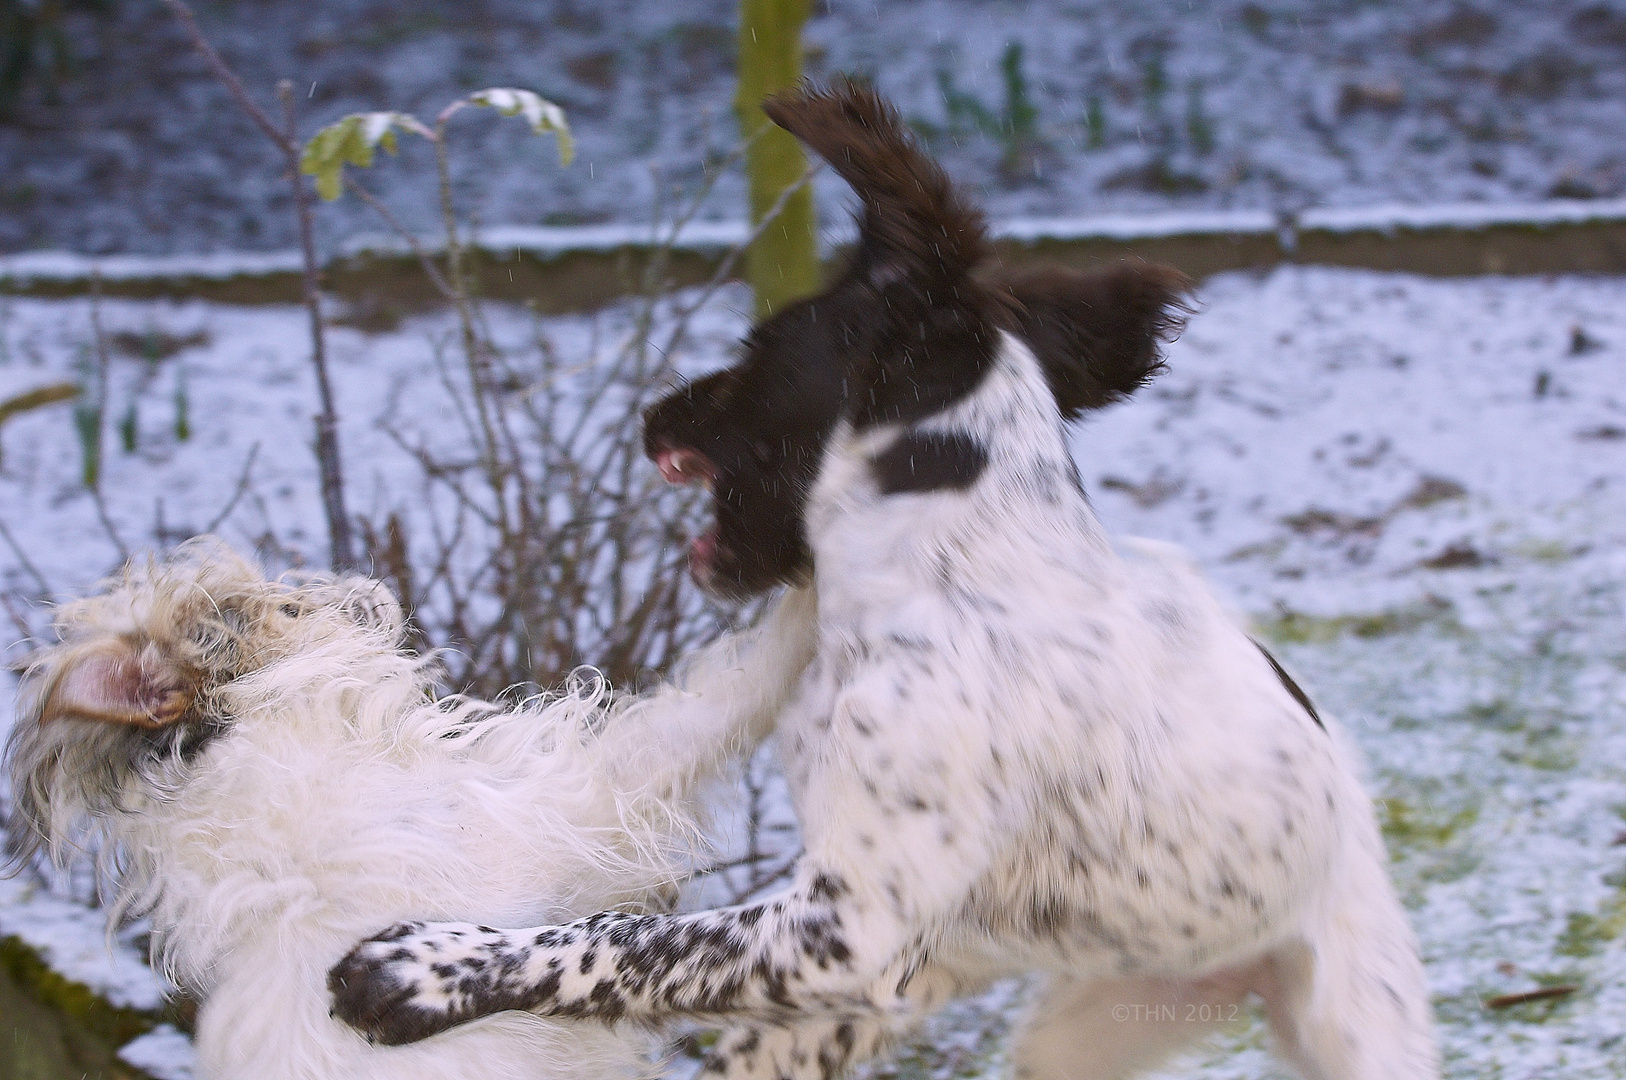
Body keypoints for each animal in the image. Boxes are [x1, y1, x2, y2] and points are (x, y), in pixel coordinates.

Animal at [326, 86, 1437, 1080]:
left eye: (758, 346)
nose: (652, 415)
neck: (944, 567)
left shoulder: (847, 924)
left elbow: (622, 941)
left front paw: (424, 970)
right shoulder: (864, 947)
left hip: (1349, 1021)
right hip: (1040, 1021)